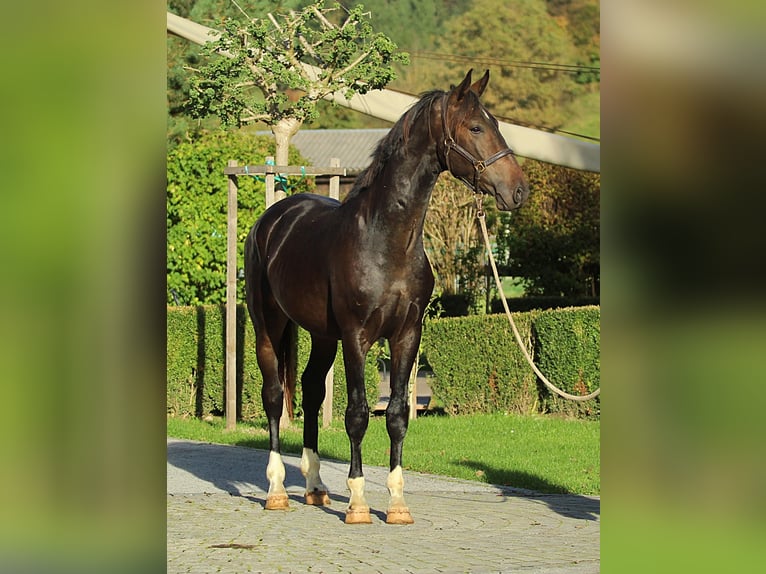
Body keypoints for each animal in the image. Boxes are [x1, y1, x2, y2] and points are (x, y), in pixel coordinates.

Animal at [244, 69, 529, 525]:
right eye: (475, 127)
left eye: (496, 124)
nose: (517, 190)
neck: (386, 239)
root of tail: (272, 219)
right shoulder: (357, 337)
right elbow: (358, 414)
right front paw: (359, 502)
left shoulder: (407, 335)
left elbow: (396, 414)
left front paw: (396, 503)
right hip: (269, 326)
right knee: (273, 396)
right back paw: (276, 490)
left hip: (323, 336)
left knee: (310, 388)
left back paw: (315, 487)